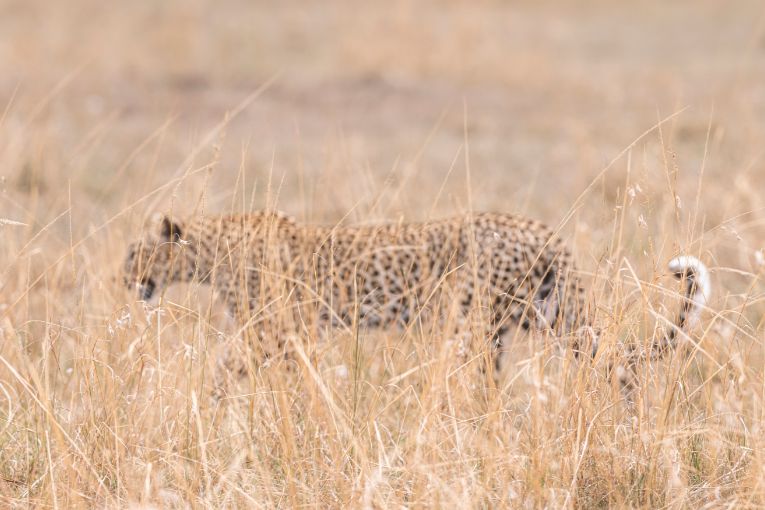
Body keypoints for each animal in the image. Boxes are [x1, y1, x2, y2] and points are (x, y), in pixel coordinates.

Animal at [122, 210, 710, 381]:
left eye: (134, 255)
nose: (125, 281)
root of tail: (543, 231)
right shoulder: (290, 333)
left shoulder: (281, 330)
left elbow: (230, 368)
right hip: (550, 315)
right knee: (618, 364)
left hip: (480, 321)